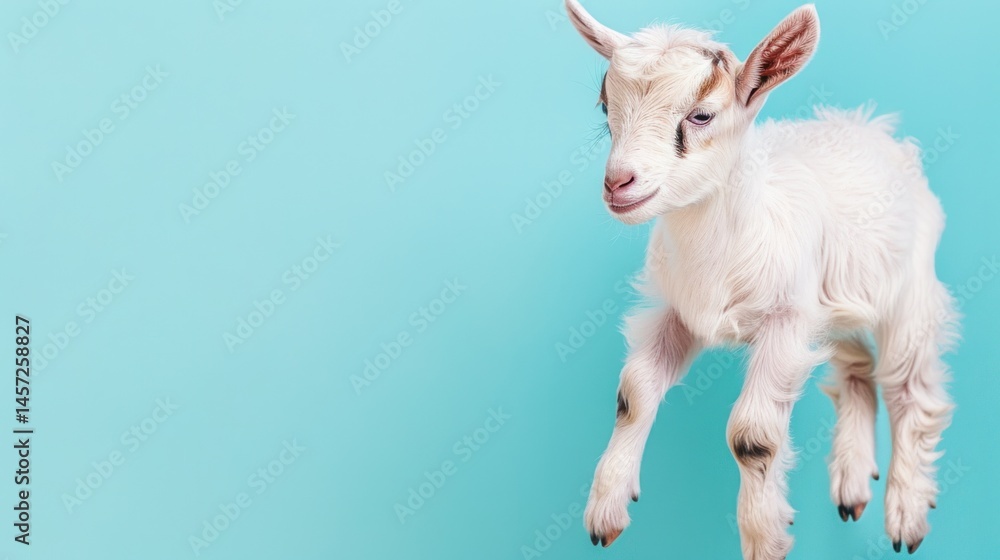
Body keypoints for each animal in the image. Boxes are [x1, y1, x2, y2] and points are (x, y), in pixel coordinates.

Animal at [564, 2, 957, 558]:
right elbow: (633, 394)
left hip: (909, 289)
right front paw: (606, 512)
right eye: (604, 108)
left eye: (701, 114)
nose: (618, 183)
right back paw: (852, 487)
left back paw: (905, 514)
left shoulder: (786, 320)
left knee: (908, 389)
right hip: (839, 302)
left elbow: (752, 436)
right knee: (858, 373)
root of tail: (873, 127)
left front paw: (764, 536)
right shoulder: (678, 311)